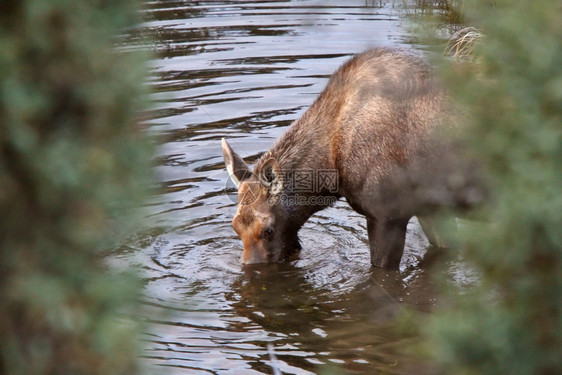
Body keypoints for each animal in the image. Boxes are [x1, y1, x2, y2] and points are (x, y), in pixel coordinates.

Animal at [221, 47, 480, 270]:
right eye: (235, 226)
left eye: (268, 230)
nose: (252, 268)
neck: (333, 170)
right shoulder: (431, 209)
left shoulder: (387, 214)